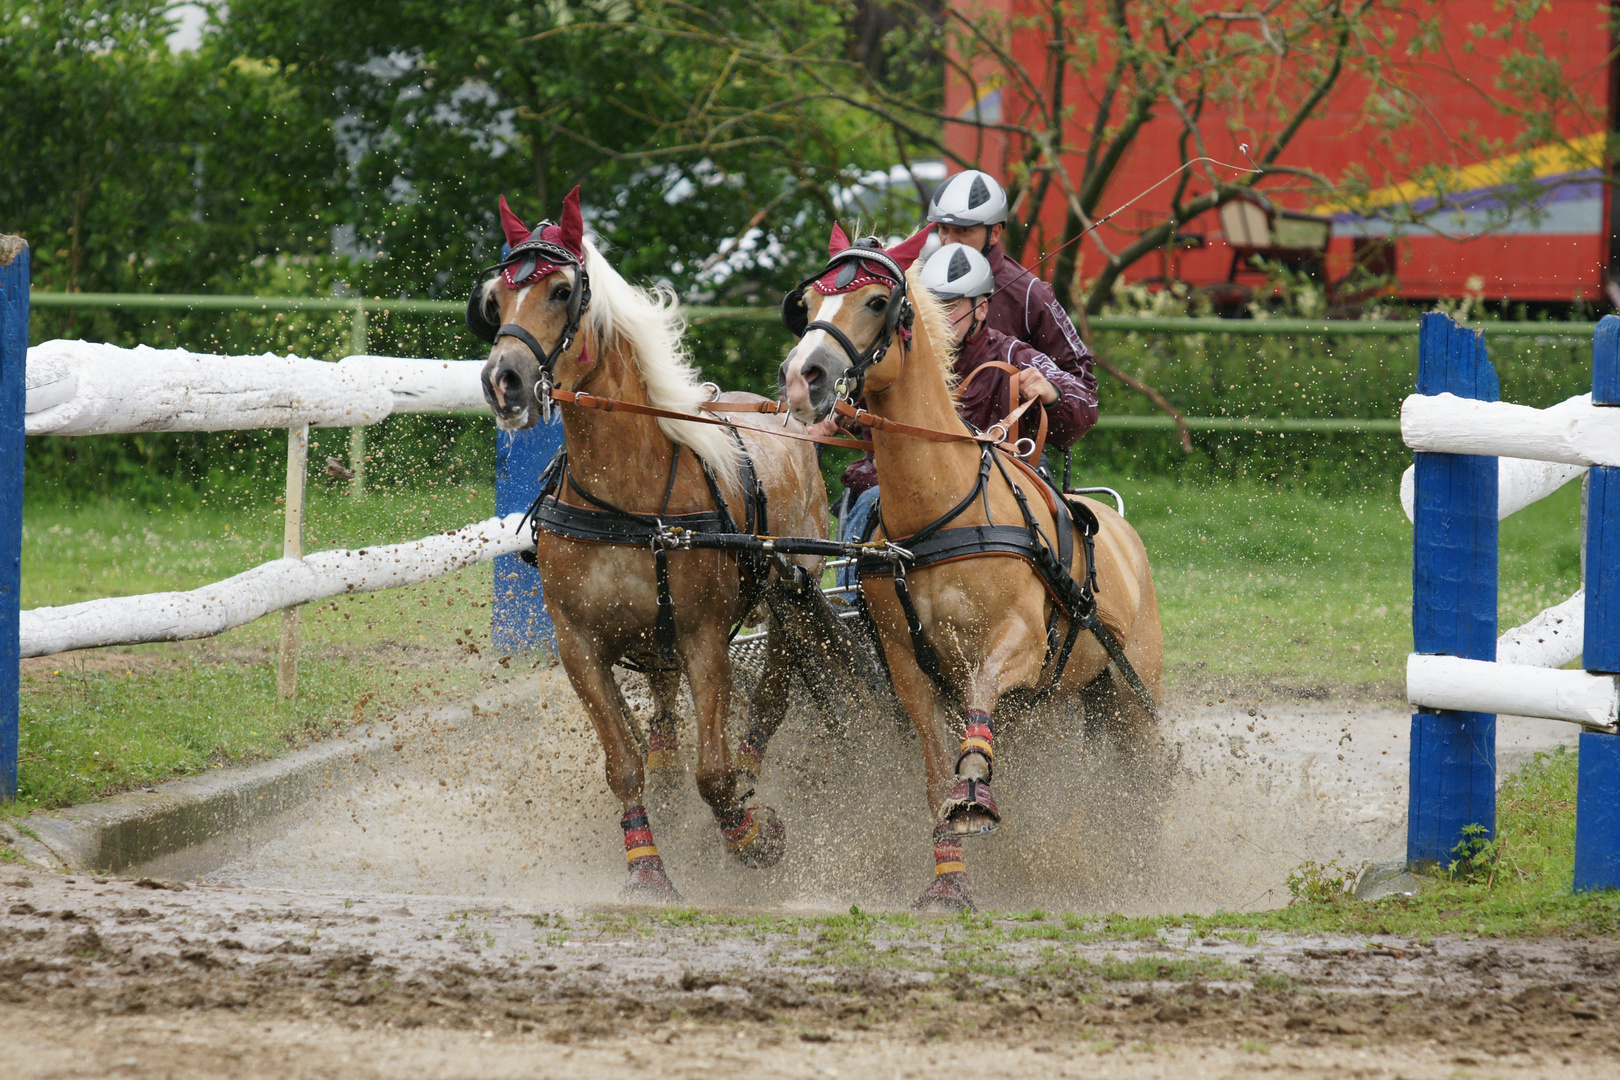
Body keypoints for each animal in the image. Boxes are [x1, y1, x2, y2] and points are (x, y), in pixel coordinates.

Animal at [466, 190, 822, 900]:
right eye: (497, 297)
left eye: (561, 290)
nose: (504, 380)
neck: (623, 496)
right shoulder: (578, 643)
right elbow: (623, 762)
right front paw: (647, 867)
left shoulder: (704, 637)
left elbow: (714, 772)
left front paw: (752, 836)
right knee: (661, 714)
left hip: (793, 601)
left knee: (768, 701)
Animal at [774, 229, 1166, 913]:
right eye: (811, 303)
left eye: (877, 301)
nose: (803, 377)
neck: (941, 509)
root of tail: (1122, 533)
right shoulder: (908, 667)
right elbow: (936, 777)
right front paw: (947, 881)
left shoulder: (1022, 642)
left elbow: (981, 694)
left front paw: (977, 789)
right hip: (1051, 707)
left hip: (1130, 697)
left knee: (1148, 781)